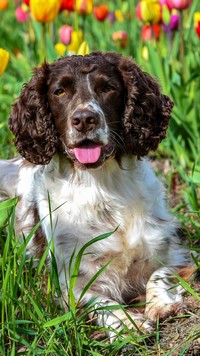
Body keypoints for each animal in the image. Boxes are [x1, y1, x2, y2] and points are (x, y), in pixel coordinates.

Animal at [0, 51, 194, 338]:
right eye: (59, 91)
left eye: (108, 88)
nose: (84, 119)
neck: (102, 188)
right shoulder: (70, 282)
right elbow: (102, 303)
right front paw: (128, 323)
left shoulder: (174, 253)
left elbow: (158, 275)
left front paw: (161, 304)